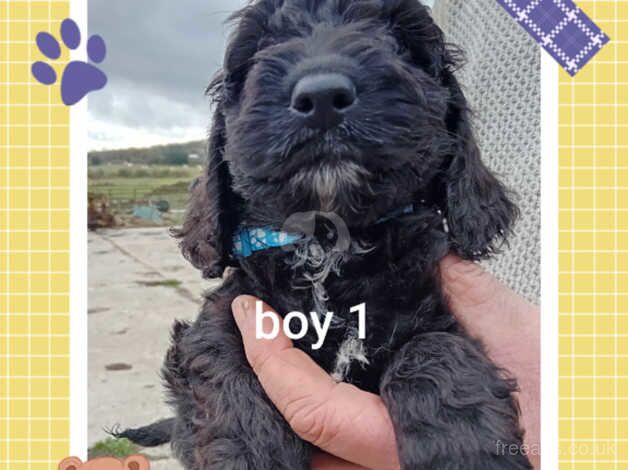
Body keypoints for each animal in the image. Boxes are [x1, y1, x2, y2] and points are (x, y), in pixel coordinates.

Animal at [118, 0, 528, 470]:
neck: (329, 242)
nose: (322, 97)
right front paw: (253, 452)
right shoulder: (227, 312)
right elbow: (222, 364)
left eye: (399, 40)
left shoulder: (432, 311)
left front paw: (467, 449)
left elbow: (434, 348)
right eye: (259, 47)